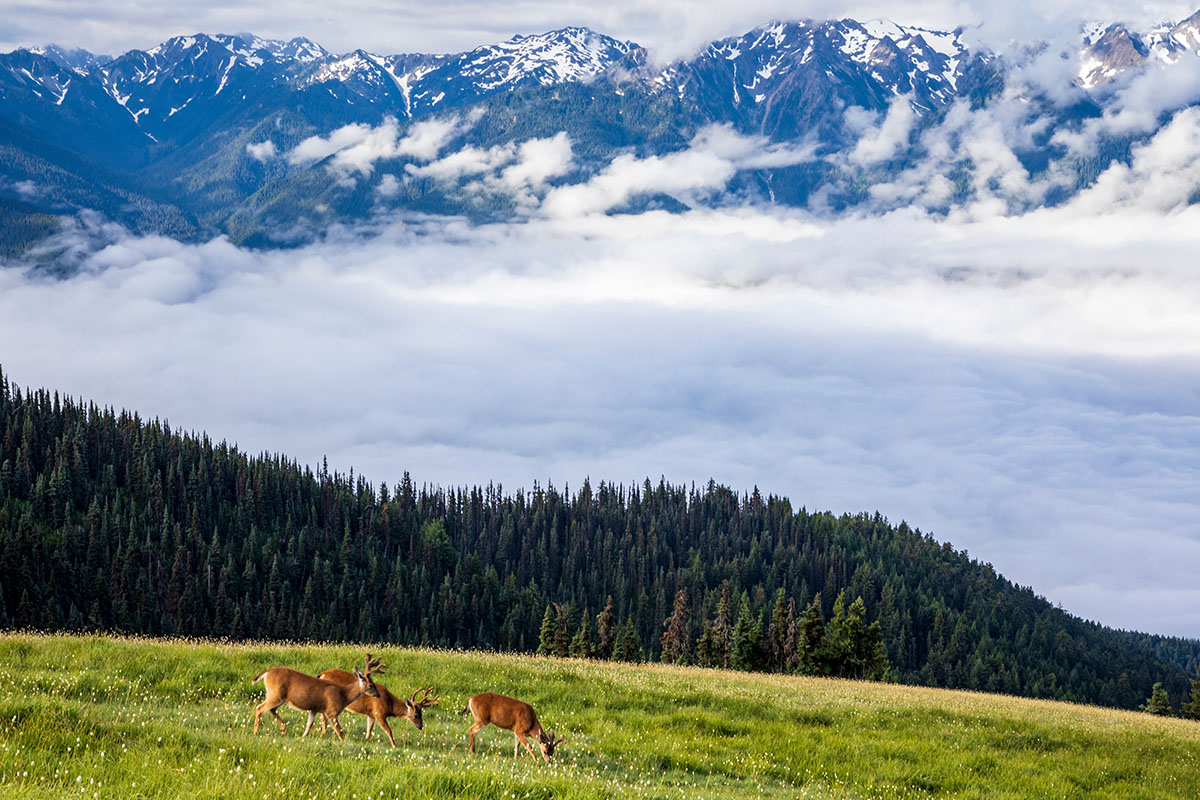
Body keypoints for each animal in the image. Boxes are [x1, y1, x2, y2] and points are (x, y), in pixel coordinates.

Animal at [252, 652, 384, 743]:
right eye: (371, 685)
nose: (378, 695)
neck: (343, 695)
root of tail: (267, 673)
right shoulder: (331, 711)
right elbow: (339, 731)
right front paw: (343, 742)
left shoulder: (314, 709)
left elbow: (309, 725)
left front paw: (303, 737)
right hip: (275, 695)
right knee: (260, 708)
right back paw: (255, 732)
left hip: (279, 698)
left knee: (271, 709)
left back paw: (283, 729)